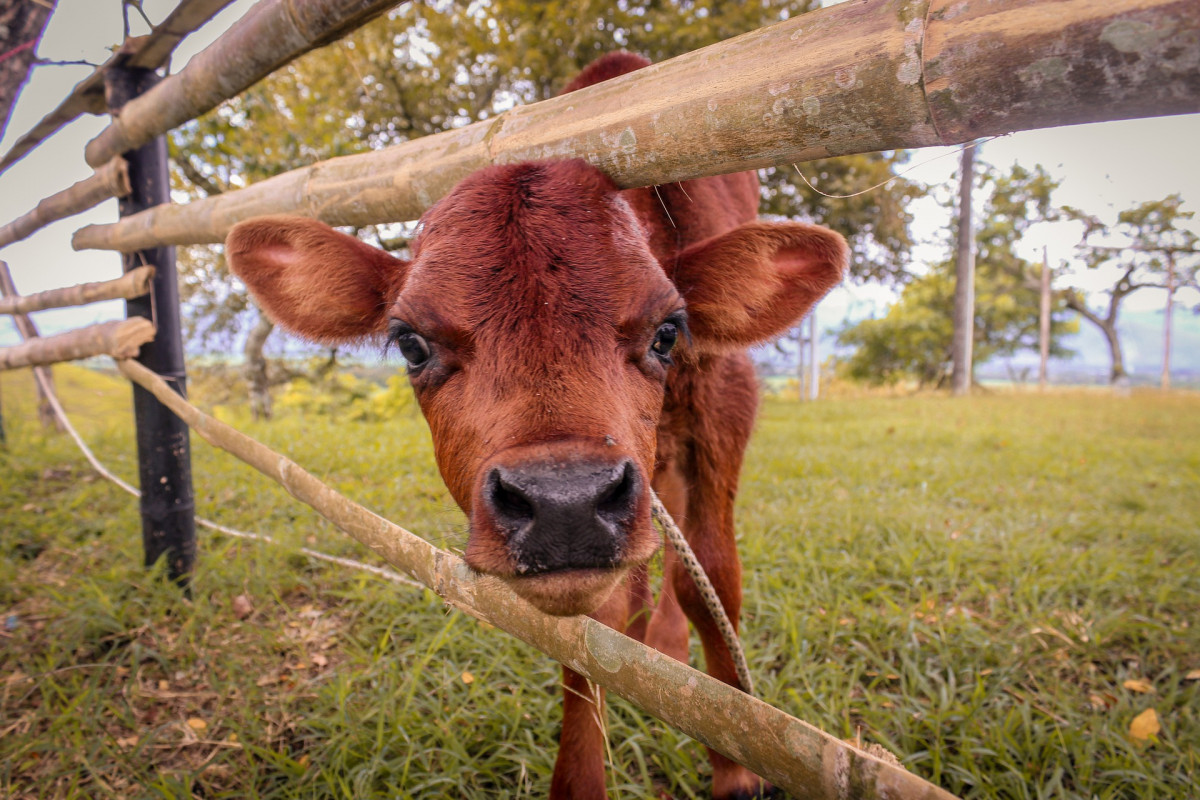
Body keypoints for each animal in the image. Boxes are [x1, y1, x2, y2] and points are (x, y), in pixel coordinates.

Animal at [225, 53, 844, 800]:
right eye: (411, 344)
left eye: (669, 331)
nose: (564, 503)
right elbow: (595, 631)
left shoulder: (729, 400)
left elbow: (712, 581)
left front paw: (733, 763)